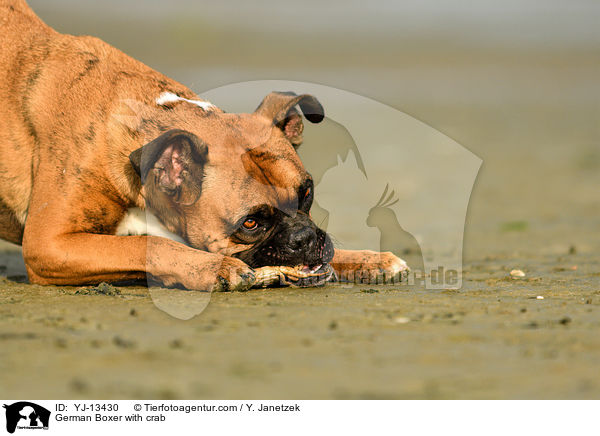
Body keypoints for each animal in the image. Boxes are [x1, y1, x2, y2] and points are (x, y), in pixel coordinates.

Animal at [0, 2, 408, 292]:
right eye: (250, 222)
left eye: (306, 194)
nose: (304, 237)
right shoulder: (50, 244)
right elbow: (150, 246)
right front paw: (218, 267)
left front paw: (367, 260)